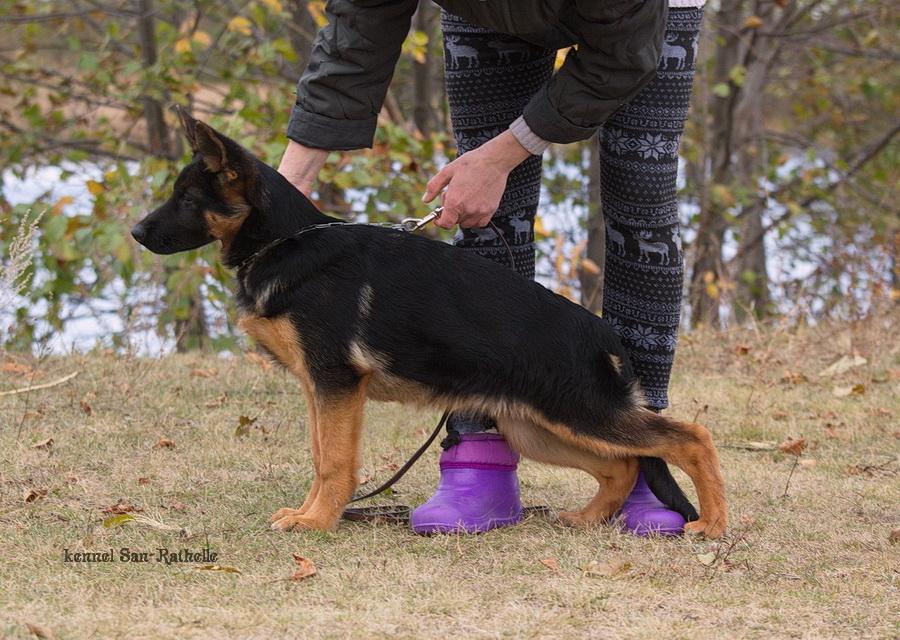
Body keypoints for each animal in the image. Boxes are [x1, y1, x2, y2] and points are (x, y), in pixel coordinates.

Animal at [130, 110, 728, 540]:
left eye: (186, 198)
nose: (135, 233)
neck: (285, 241)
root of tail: (606, 335)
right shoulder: (319, 390)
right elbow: (320, 455)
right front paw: (309, 513)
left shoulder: (337, 386)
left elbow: (334, 461)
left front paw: (317, 522)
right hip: (538, 425)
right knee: (621, 467)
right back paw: (587, 519)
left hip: (581, 413)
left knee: (688, 439)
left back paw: (713, 523)